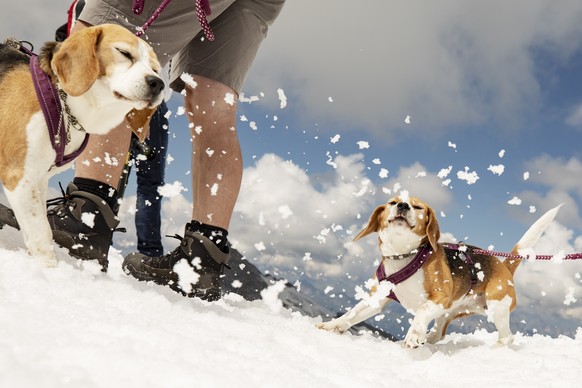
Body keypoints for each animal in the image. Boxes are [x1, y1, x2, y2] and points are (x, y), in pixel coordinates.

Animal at [0, 23, 164, 266]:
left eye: (155, 69)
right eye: (124, 53)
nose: (158, 83)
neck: (63, 101)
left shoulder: (36, 178)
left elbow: (38, 227)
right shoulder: (19, 175)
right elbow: (40, 232)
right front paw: (50, 269)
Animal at [318, 194, 564, 348]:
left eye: (418, 207)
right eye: (392, 202)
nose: (403, 206)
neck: (404, 255)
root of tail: (503, 266)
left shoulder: (439, 297)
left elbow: (421, 311)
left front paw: (413, 335)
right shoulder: (377, 298)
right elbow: (351, 314)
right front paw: (331, 325)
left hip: (496, 307)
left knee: (507, 338)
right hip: (449, 312)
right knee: (438, 334)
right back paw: (428, 340)